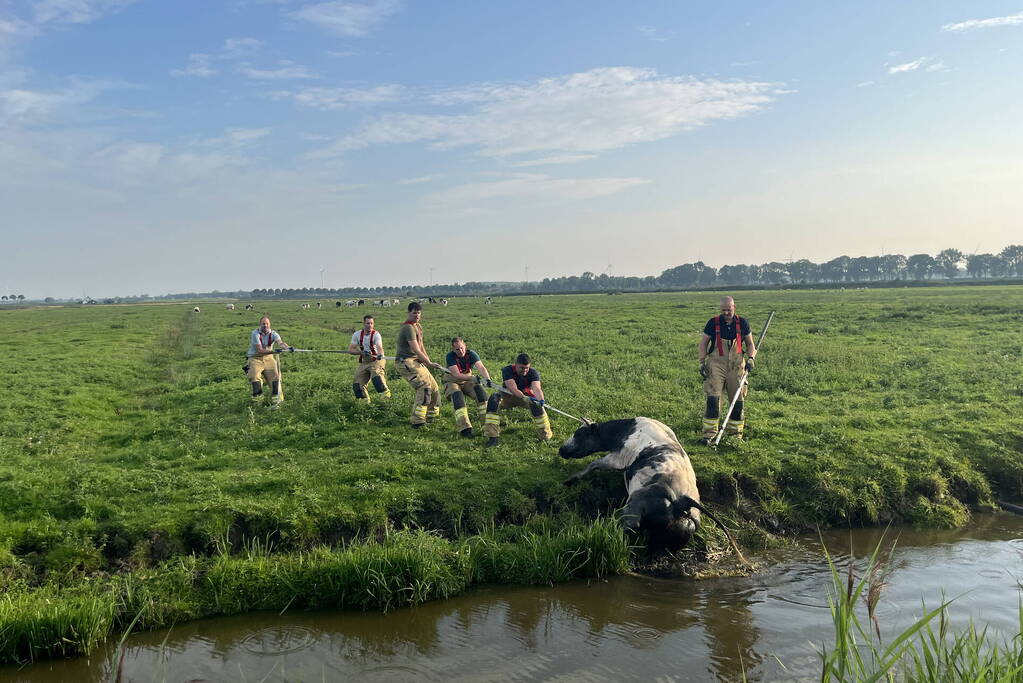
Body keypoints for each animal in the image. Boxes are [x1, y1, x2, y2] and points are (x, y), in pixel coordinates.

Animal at [559, 417, 741, 557]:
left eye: (578, 434)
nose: (561, 449)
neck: (625, 430)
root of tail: (683, 500)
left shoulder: (617, 458)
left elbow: (594, 464)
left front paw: (571, 479)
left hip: (632, 509)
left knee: (629, 527)